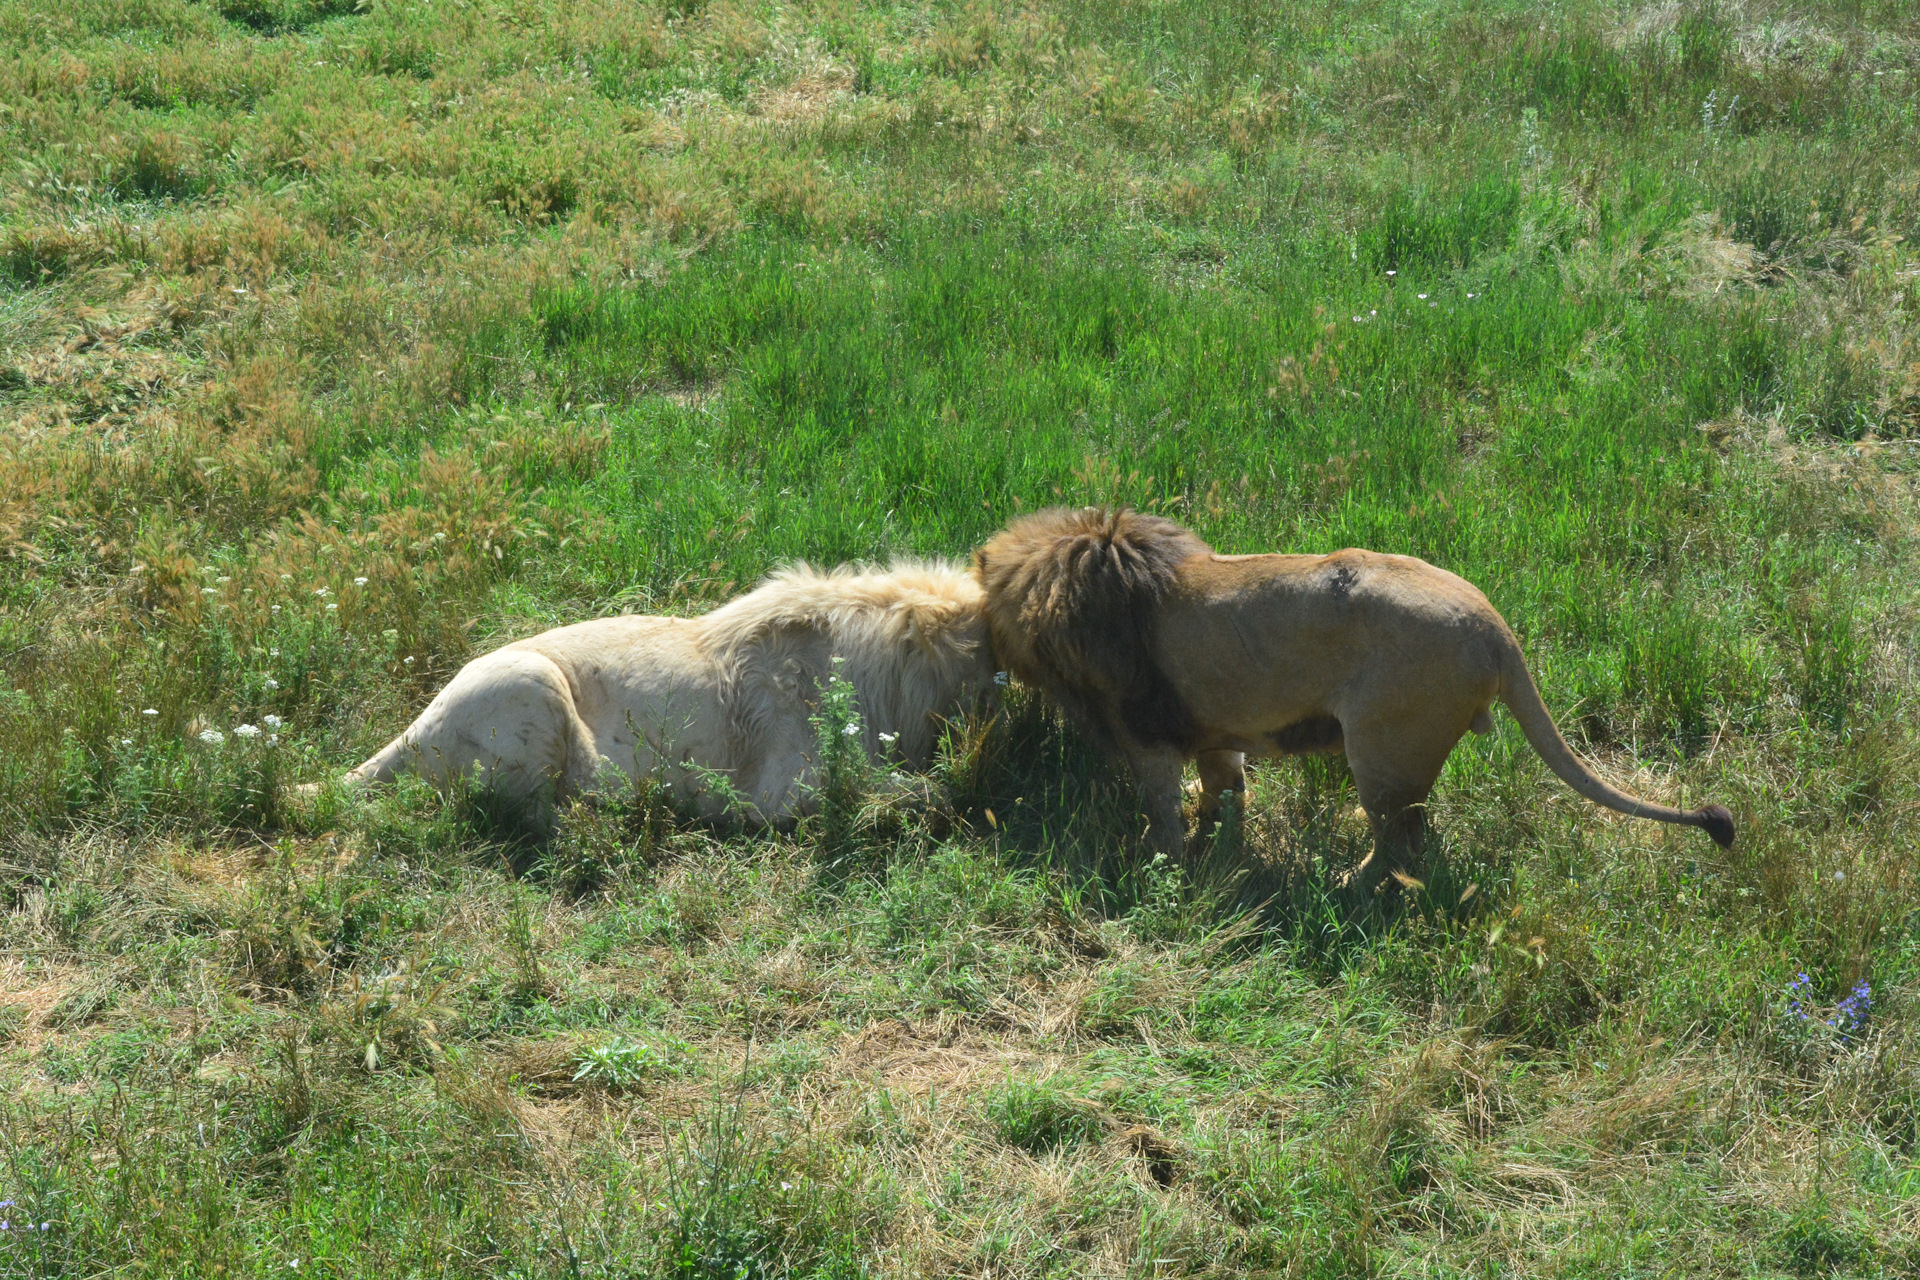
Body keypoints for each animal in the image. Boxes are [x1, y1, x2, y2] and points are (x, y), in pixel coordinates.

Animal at [975, 506, 1743, 898]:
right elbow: (1222, 786)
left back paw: (1347, 882)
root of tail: (1497, 630)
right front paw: (1211, 835)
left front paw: (1161, 862)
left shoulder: (1147, 734)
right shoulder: (1214, 729)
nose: (987, 648)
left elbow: (1162, 806)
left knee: (1401, 842)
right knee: (1413, 836)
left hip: (1381, 751)